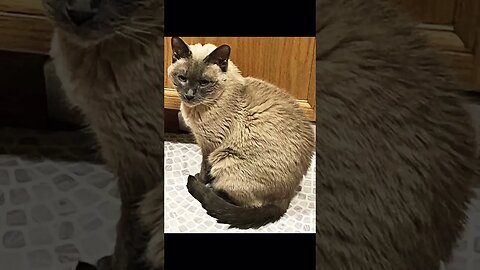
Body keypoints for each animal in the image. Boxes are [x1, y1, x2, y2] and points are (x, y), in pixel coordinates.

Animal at [42, 0, 165, 270]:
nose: (79, 15)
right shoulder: (126, 159)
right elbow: (128, 229)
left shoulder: (142, 162)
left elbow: (129, 234)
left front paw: (116, 264)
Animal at [167, 37, 316, 229]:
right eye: (182, 78)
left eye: (203, 83)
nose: (189, 95)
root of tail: (286, 197)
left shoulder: (209, 146)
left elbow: (204, 169)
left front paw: (200, 180)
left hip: (224, 159)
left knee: (244, 202)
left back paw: (211, 189)